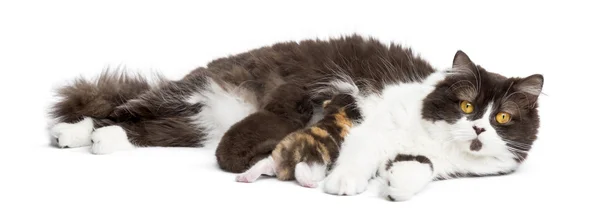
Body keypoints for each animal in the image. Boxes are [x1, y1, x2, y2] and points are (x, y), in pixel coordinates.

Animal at [47, 34, 544, 201]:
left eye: (503, 118)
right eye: (467, 106)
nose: (478, 127)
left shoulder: (434, 163)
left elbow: (415, 170)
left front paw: (396, 186)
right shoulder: (371, 125)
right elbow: (359, 156)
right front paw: (344, 184)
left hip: (196, 125)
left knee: (139, 129)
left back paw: (98, 142)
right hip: (188, 95)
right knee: (118, 109)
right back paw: (67, 133)